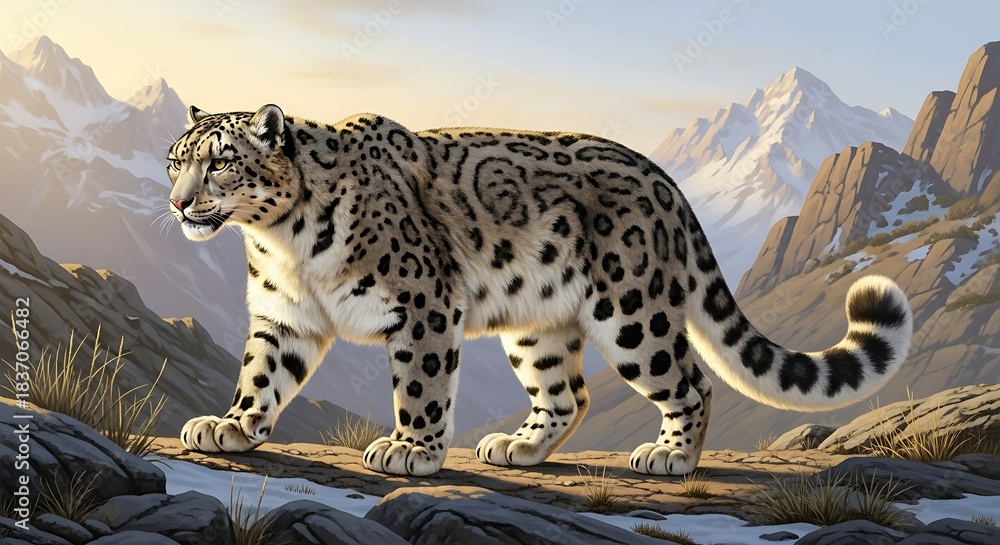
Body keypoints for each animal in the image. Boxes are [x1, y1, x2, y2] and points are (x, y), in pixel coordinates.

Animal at [168, 104, 913, 476]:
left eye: (220, 162)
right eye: (177, 161)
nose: (176, 202)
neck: (281, 243)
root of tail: (665, 181)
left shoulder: (423, 304)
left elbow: (421, 384)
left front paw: (411, 450)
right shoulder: (283, 315)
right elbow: (262, 374)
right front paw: (229, 427)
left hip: (633, 313)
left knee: (693, 380)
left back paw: (671, 456)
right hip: (537, 325)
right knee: (567, 393)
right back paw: (518, 447)